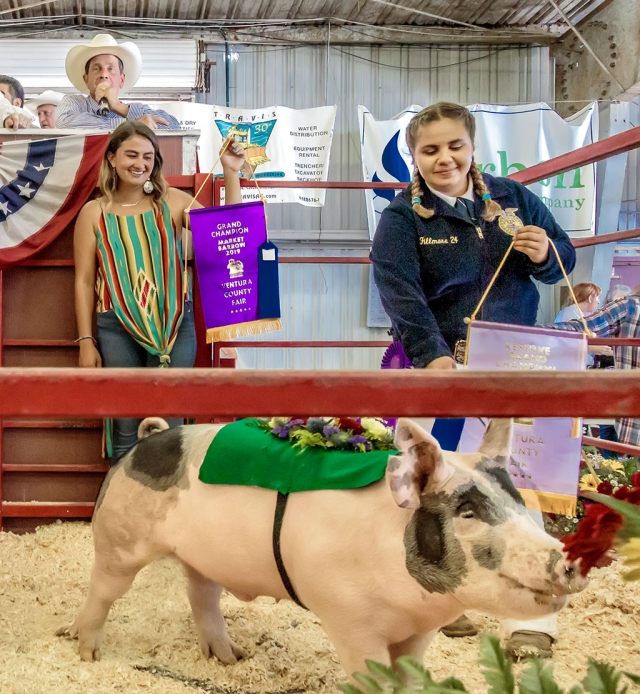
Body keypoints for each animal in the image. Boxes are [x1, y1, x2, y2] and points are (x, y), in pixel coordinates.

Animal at [61, 418, 592, 680]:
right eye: (467, 512)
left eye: (520, 503)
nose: (567, 561)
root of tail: (145, 442)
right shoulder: (351, 619)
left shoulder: (420, 634)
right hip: (118, 538)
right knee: (102, 589)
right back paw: (86, 653)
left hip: (202, 556)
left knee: (201, 593)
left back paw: (230, 659)